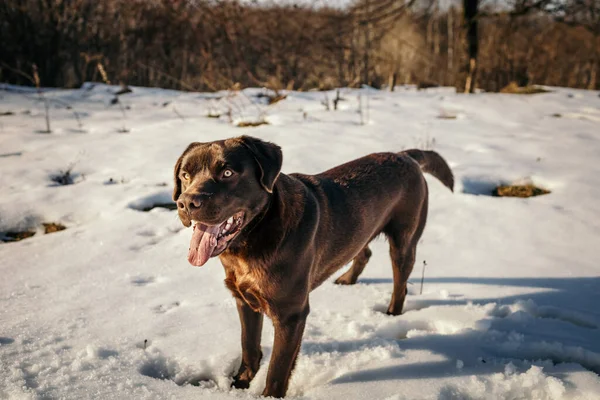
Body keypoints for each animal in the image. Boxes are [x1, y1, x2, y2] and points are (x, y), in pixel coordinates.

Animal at [173, 137, 454, 396]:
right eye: (185, 175)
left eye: (228, 173)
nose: (186, 203)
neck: (249, 244)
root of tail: (405, 155)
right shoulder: (244, 300)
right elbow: (249, 346)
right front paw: (239, 384)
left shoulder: (291, 315)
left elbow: (278, 369)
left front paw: (268, 395)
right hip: (361, 229)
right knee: (363, 251)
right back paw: (347, 280)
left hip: (404, 240)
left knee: (400, 283)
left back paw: (392, 315)